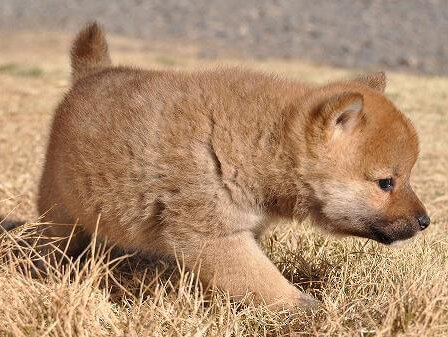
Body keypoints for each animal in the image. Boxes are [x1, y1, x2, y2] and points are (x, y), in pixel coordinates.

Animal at [38, 22, 430, 308]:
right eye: (386, 183)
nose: (425, 221)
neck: (261, 143)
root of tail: (90, 74)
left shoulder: (244, 230)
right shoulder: (213, 236)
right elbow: (264, 282)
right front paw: (308, 308)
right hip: (59, 211)